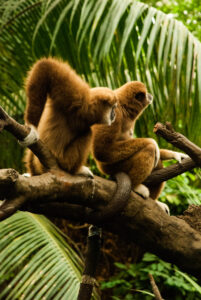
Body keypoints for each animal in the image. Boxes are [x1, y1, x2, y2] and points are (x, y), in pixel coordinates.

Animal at [92, 82, 188, 213]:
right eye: (146, 93)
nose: (150, 94)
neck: (124, 107)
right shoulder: (115, 113)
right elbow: (102, 151)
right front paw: (152, 142)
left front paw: (176, 154)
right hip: (116, 166)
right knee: (149, 150)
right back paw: (135, 186)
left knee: (158, 162)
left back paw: (155, 201)